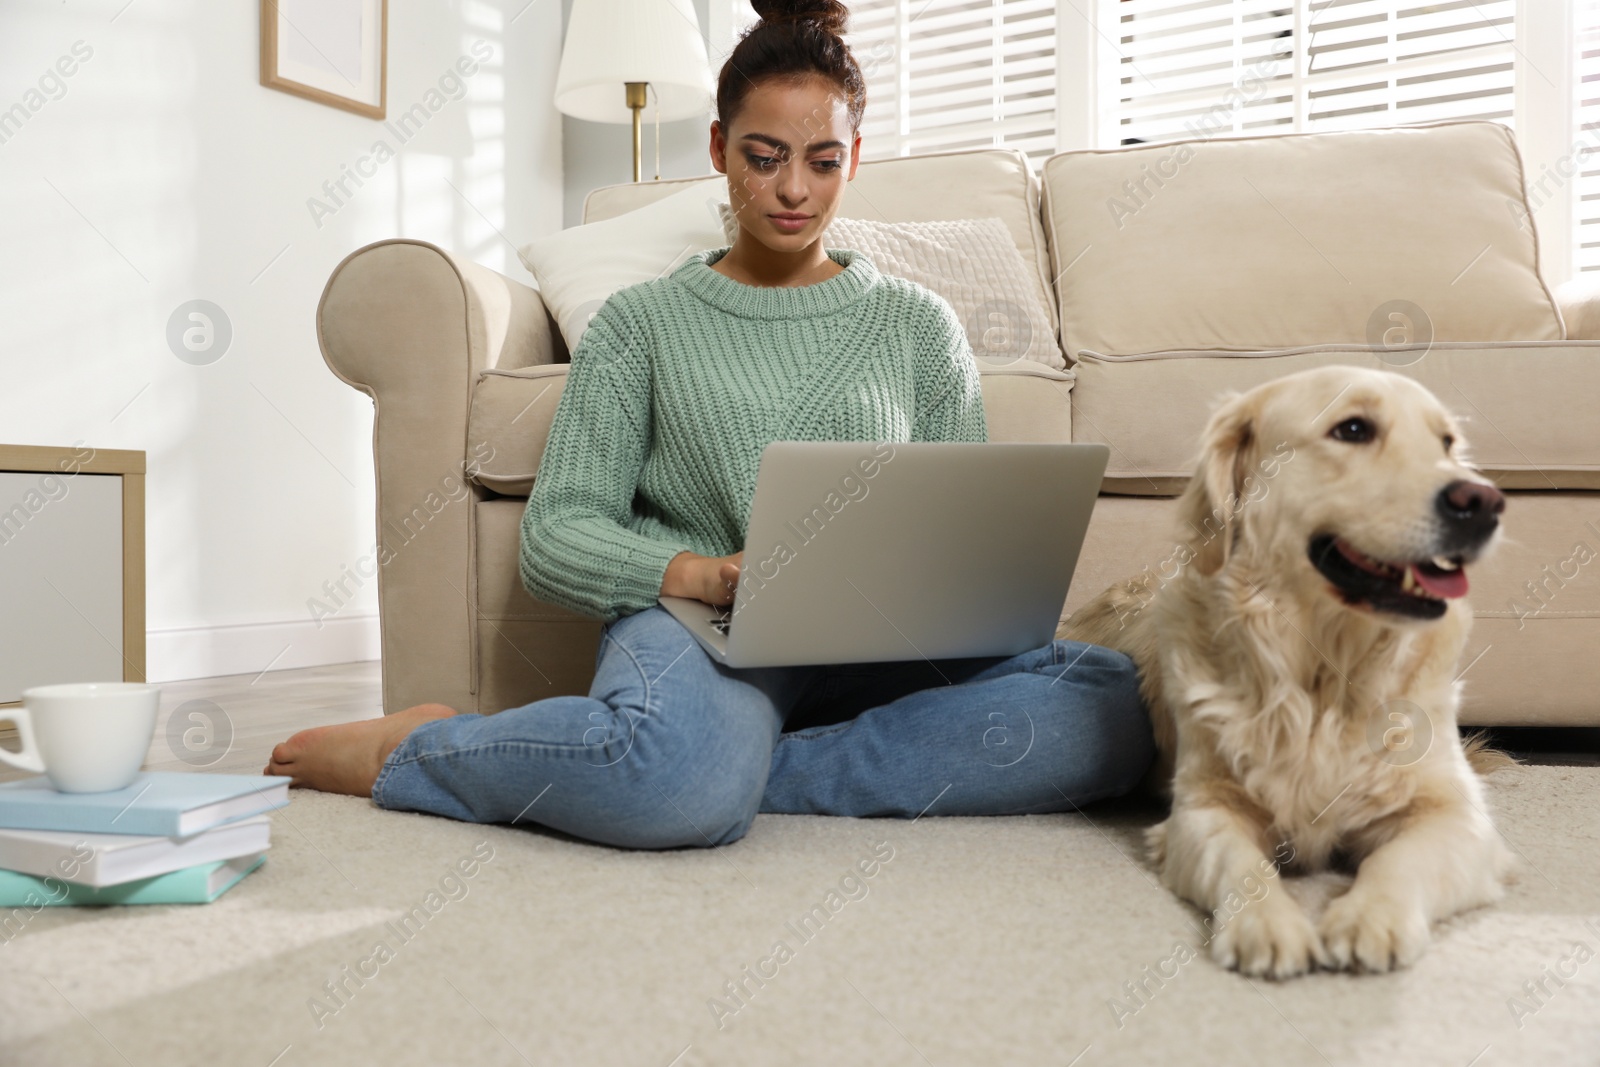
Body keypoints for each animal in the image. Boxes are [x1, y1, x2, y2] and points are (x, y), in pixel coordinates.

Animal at [1056, 364, 1516, 979]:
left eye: (1446, 443)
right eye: (1353, 429)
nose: (1484, 502)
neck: (1326, 672)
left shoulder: (1456, 815)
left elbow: (1399, 859)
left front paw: (1372, 917)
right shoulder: (1204, 808)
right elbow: (1243, 865)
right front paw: (1268, 926)